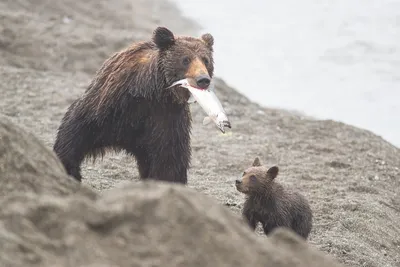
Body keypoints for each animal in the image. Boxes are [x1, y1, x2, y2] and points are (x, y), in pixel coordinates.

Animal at [53, 27, 217, 185]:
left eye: (206, 60)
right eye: (185, 59)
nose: (203, 79)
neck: (151, 91)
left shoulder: (166, 119)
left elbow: (169, 160)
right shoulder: (110, 107)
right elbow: (75, 133)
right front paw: (68, 168)